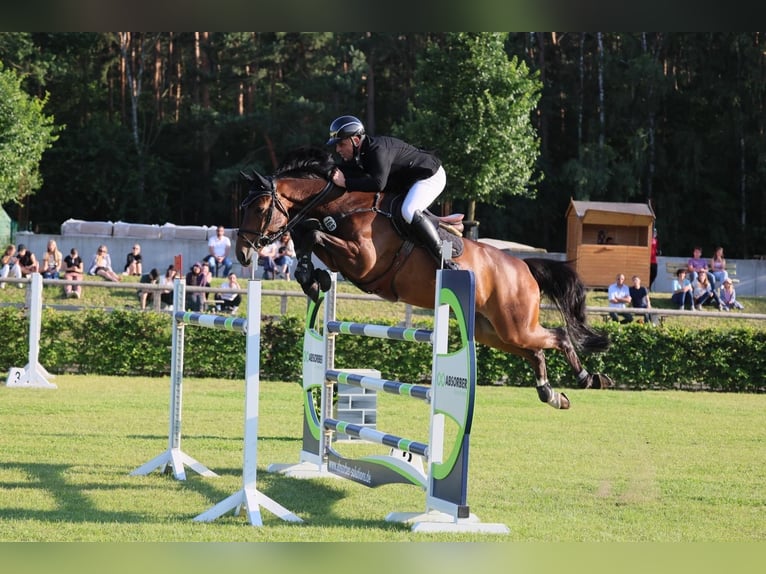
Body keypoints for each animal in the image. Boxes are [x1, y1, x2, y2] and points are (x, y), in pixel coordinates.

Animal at [237, 147, 616, 410]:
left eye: (259, 209)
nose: (242, 254)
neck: (345, 204)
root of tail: (523, 267)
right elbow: (307, 232)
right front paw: (312, 278)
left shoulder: (364, 260)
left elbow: (314, 232)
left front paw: (314, 277)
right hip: (494, 331)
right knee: (536, 351)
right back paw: (551, 394)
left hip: (515, 323)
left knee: (559, 336)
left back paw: (589, 378)